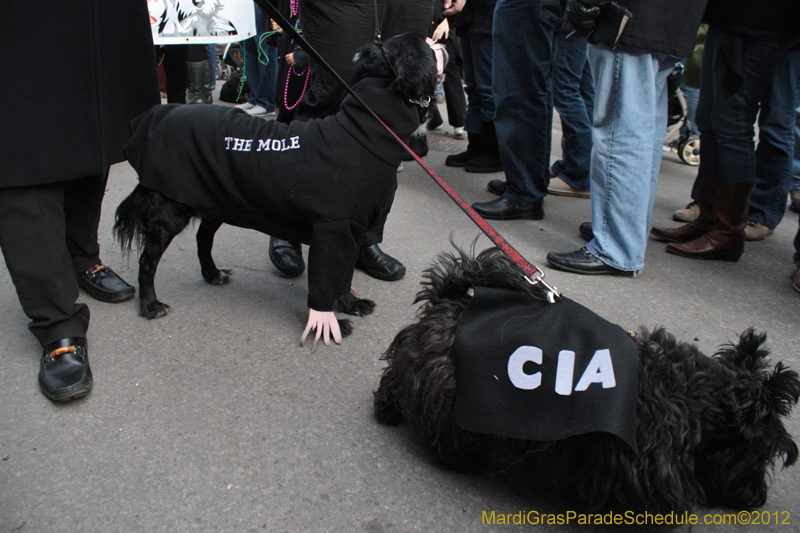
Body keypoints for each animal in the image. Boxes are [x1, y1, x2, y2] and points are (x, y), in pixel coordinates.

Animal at [114, 33, 438, 342]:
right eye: (423, 44)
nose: (438, 40)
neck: (361, 132)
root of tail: (157, 117)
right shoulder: (333, 229)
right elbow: (325, 280)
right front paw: (329, 322)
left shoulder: (354, 230)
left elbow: (344, 276)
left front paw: (349, 304)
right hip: (171, 209)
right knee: (147, 261)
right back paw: (150, 304)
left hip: (215, 201)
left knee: (202, 238)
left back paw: (212, 273)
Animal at [374, 247, 800, 512]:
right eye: (766, 453)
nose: (758, 498)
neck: (690, 390)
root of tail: (451, 298)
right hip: (448, 391)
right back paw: (459, 456)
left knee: (394, 380)